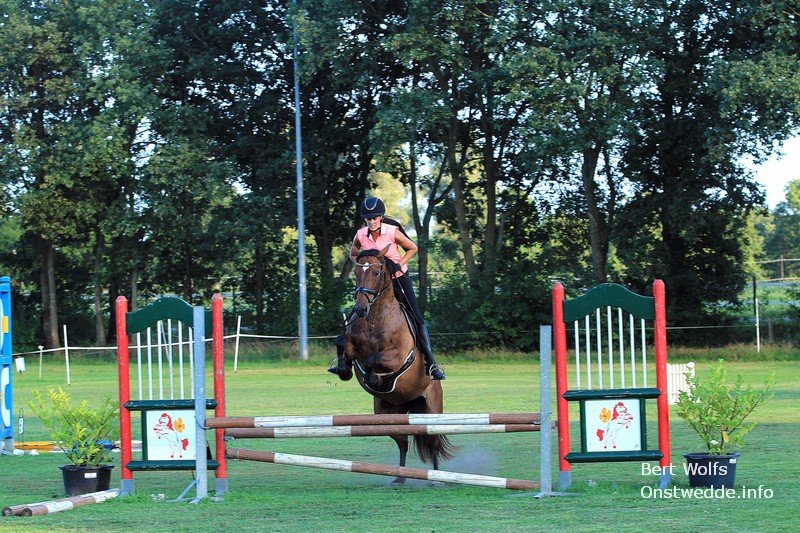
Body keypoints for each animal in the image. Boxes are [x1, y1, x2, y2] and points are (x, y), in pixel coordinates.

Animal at [331, 244, 454, 483]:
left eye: (377, 272)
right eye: (356, 273)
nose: (360, 309)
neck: (375, 317)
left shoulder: (397, 356)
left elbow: (375, 360)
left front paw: (374, 377)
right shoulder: (352, 345)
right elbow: (343, 342)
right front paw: (343, 369)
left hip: (431, 411)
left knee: (432, 442)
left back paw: (435, 477)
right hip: (387, 415)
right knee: (403, 442)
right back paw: (400, 477)